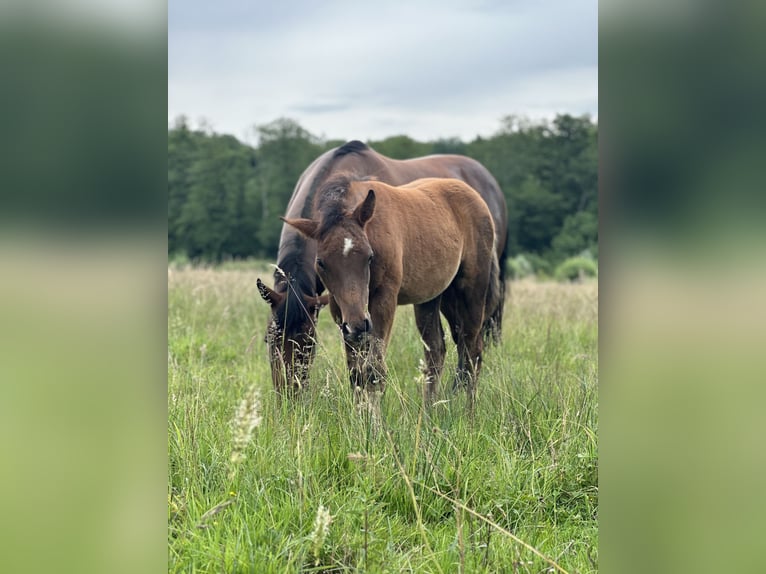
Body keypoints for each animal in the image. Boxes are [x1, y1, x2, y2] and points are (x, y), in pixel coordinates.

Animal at [258, 142, 510, 394]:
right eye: (269, 339)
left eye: (309, 341)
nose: (289, 393)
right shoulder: (342, 310)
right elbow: (356, 373)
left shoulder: (383, 301)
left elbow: (373, 371)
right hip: (435, 295)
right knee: (439, 351)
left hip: (471, 292)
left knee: (472, 351)